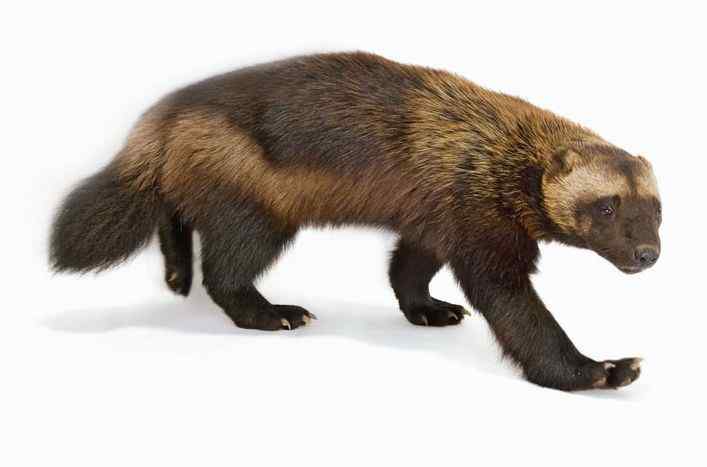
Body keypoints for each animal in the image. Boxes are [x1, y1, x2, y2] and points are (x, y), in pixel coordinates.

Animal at [50, 52, 661, 391]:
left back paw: (176, 273)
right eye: (607, 204)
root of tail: (163, 116)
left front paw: (430, 310)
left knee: (175, 213)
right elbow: (520, 315)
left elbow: (406, 270)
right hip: (257, 211)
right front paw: (599, 370)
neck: (497, 147)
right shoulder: (480, 229)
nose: (647, 254)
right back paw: (272, 313)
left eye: (657, 208)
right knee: (223, 272)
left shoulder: (435, 221)